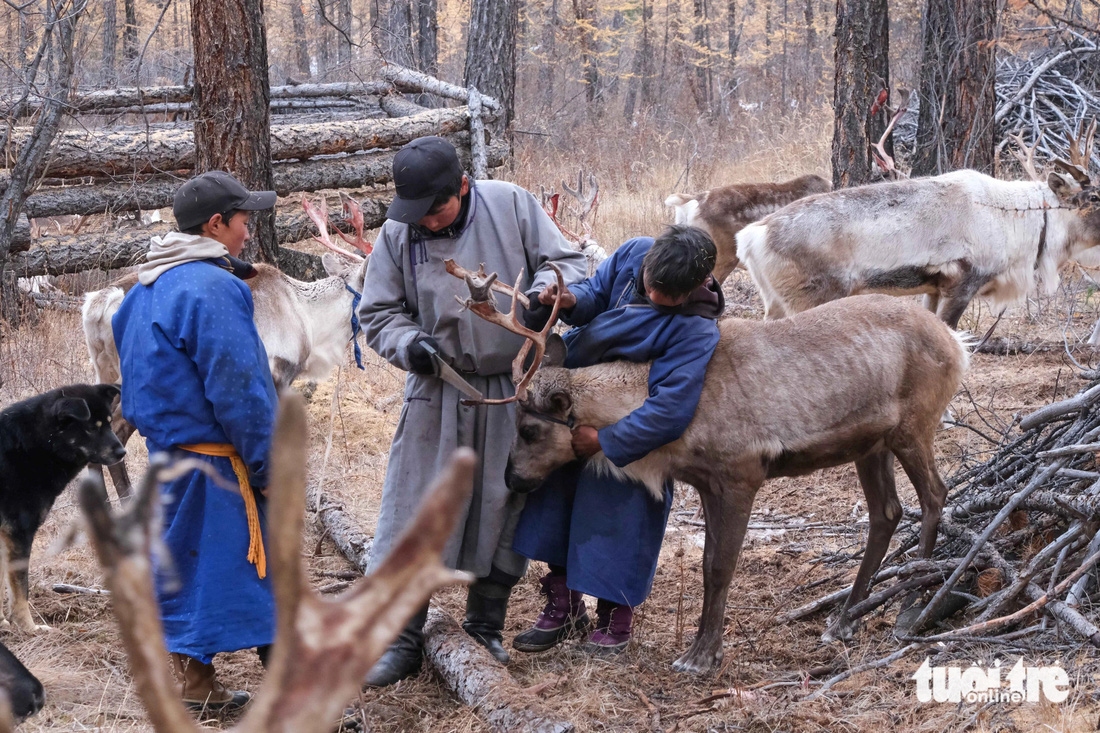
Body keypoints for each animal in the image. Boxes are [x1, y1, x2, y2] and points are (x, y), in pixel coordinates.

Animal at [0, 385, 124, 629]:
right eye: (91, 428)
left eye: (108, 422)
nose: (122, 452)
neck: (36, 445)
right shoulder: (18, 533)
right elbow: (21, 589)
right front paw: (29, 628)